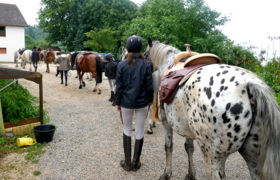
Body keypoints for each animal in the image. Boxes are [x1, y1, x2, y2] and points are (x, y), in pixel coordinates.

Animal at [145, 39, 280, 180]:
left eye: (145, 55)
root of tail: (249, 85)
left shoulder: (166, 122)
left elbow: (168, 146)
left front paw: (167, 173)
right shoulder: (186, 128)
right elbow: (189, 147)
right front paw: (190, 174)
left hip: (213, 156)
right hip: (253, 157)